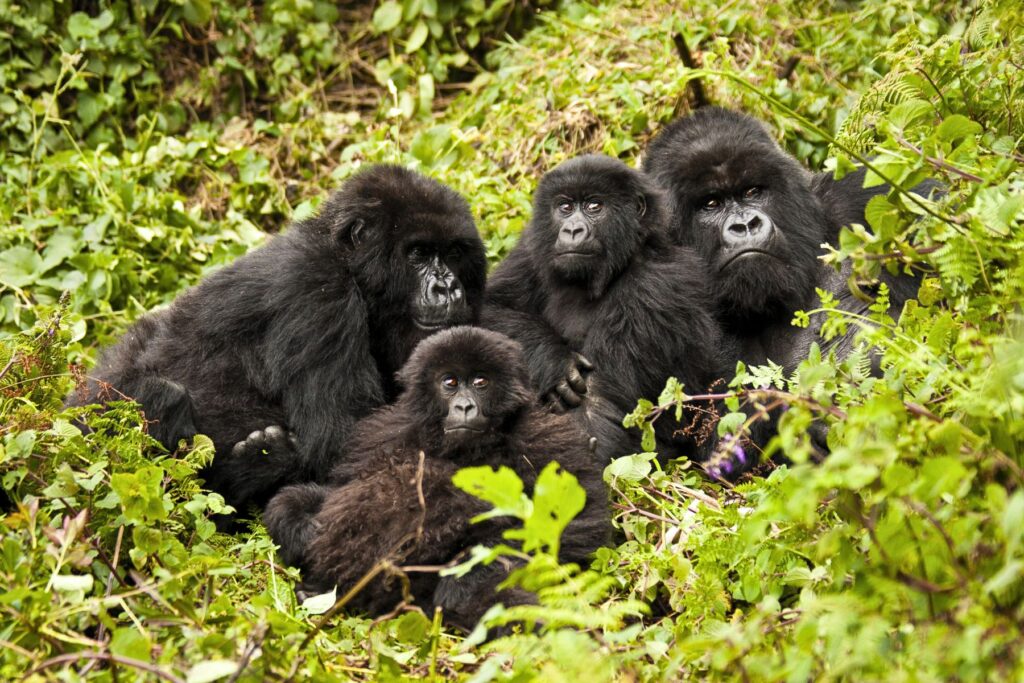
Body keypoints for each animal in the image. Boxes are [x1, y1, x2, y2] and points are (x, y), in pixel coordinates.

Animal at [68, 165, 487, 516]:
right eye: (418, 253)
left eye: (453, 253)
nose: (447, 287)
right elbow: (340, 440)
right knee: (162, 395)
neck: (346, 262)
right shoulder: (316, 291)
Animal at [266, 325, 614, 630]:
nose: (464, 406)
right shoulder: (384, 433)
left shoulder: (544, 438)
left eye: (480, 382)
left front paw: (467, 581)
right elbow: (335, 490)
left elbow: (578, 522)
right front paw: (301, 525)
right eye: (450, 382)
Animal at [481, 154, 729, 462]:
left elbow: (598, 410)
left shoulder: (655, 286)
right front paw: (553, 360)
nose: (572, 230)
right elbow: (491, 308)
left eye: (594, 206)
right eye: (565, 207)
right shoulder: (532, 249)